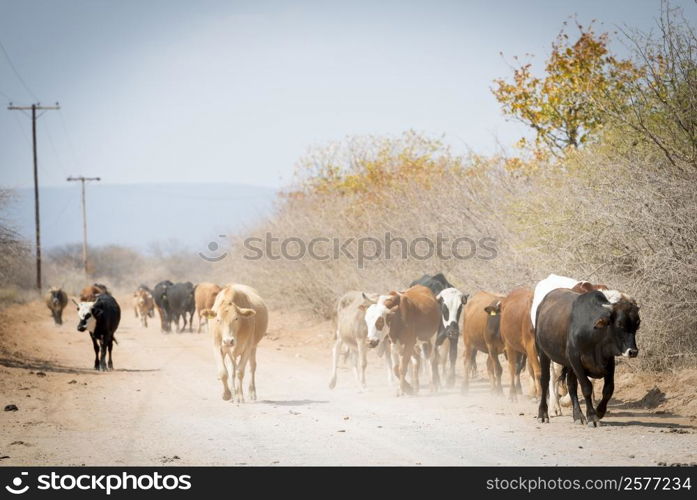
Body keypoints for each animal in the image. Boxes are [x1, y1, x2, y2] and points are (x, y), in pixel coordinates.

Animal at [536, 290, 640, 426]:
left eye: (637, 324)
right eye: (619, 324)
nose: (633, 352)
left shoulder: (609, 362)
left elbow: (609, 389)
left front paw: (599, 411)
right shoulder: (576, 360)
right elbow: (586, 387)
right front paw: (592, 416)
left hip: (568, 365)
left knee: (571, 386)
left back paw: (577, 416)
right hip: (543, 353)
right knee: (545, 381)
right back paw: (543, 414)